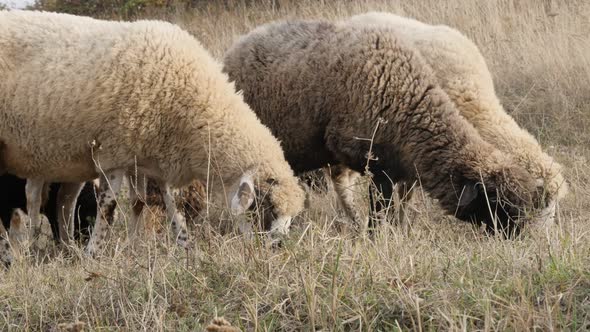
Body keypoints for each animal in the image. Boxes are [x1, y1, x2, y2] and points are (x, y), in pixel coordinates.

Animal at [0, 9, 306, 254]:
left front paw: (174, 247)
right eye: (266, 209)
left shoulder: (147, 159)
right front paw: (94, 253)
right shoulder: (113, 154)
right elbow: (109, 208)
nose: (278, 250)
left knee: (52, 201)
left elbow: (151, 204)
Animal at [223, 20, 544, 233]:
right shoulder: (375, 165)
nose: (519, 237)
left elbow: (397, 206)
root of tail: (236, 46)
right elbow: (381, 210)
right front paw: (376, 236)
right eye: (499, 202)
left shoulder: (398, 169)